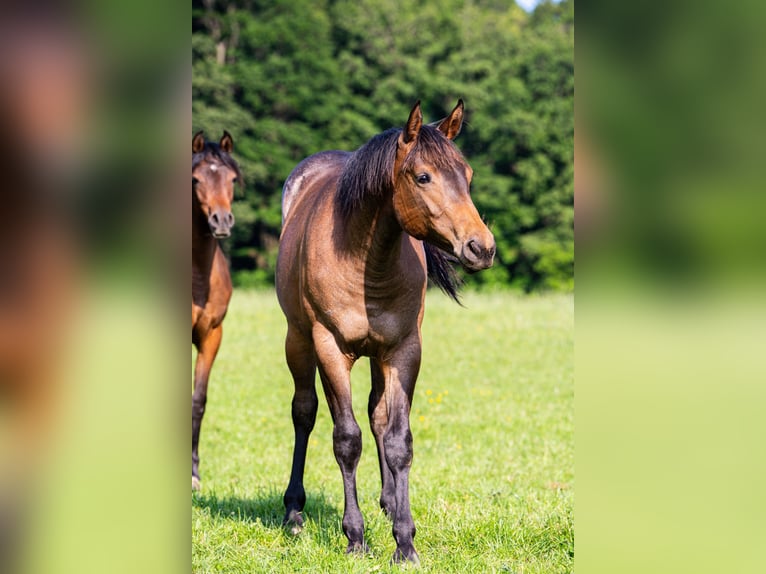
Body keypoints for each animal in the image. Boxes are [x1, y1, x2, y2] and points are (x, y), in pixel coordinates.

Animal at [276, 101, 498, 564]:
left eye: (466, 176)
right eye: (423, 176)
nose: (481, 247)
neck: (365, 260)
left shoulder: (403, 350)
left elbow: (398, 440)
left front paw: (405, 540)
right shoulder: (330, 348)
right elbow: (346, 439)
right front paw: (355, 538)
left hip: (377, 357)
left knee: (377, 415)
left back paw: (389, 502)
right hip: (298, 342)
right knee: (304, 412)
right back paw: (294, 513)